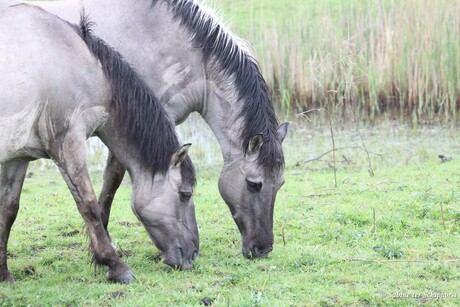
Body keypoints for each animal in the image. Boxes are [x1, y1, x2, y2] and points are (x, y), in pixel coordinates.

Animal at [0, 4, 198, 284]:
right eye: (185, 194)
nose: (193, 253)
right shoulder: (68, 144)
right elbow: (89, 206)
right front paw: (115, 265)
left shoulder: (17, 158)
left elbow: (8, 210)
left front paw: (3, 273)